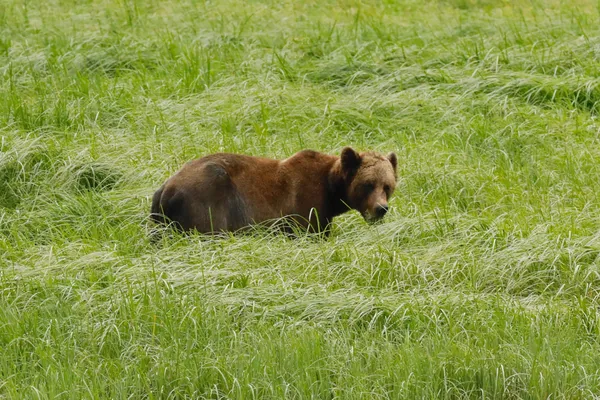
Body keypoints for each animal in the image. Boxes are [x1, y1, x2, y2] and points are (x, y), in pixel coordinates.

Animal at [150, 147, 398, 235]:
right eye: (368, 184)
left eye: (388, 186)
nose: (381, 208)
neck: (331, 192)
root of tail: (165, 190)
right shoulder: (304, 206)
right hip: (207, 202)